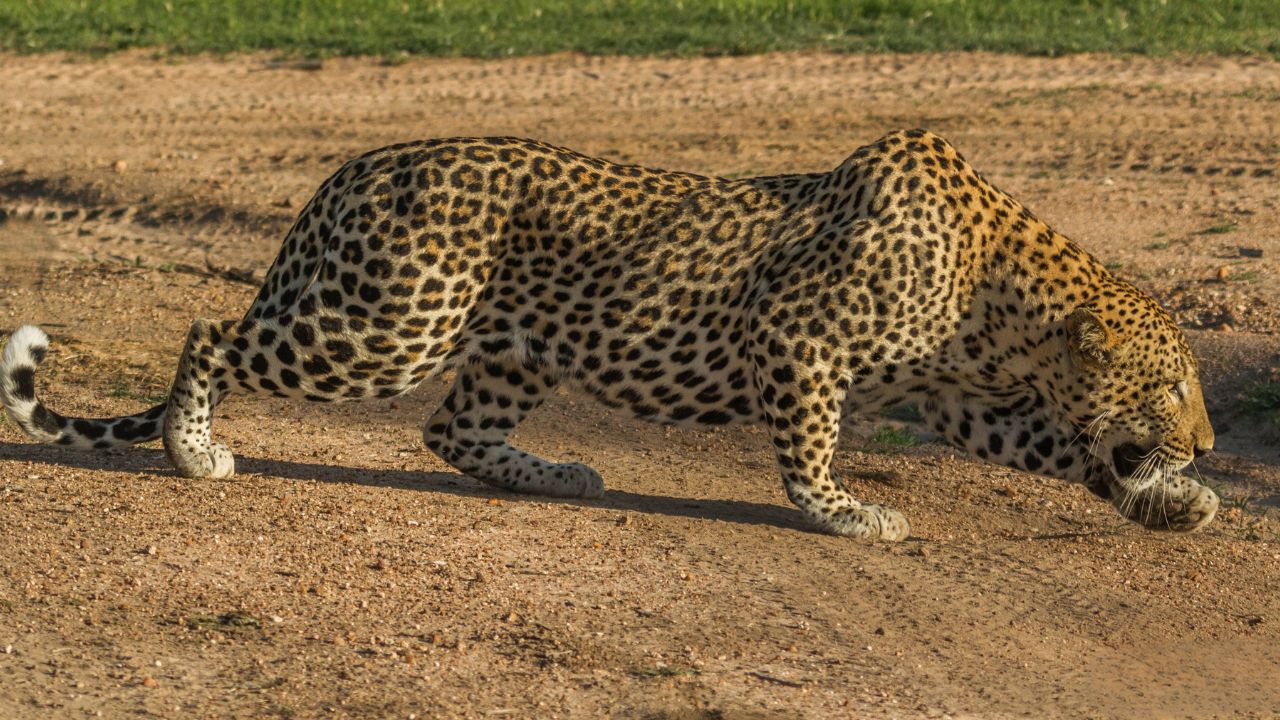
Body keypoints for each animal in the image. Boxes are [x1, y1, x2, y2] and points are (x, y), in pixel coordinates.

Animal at [0, 129, 1219, 540]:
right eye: (1168, 388)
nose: (1209, 443)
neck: (995, 301)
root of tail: (350, 168)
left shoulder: (957, 400)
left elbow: (1062, 451)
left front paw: (1174, 501)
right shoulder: (798, 344)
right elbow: (809, 451)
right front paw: (843, 514)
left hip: (504, 346)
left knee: (451, 434)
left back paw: (558, 475)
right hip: (387, 325)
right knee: (212, 328)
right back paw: (194, 451)